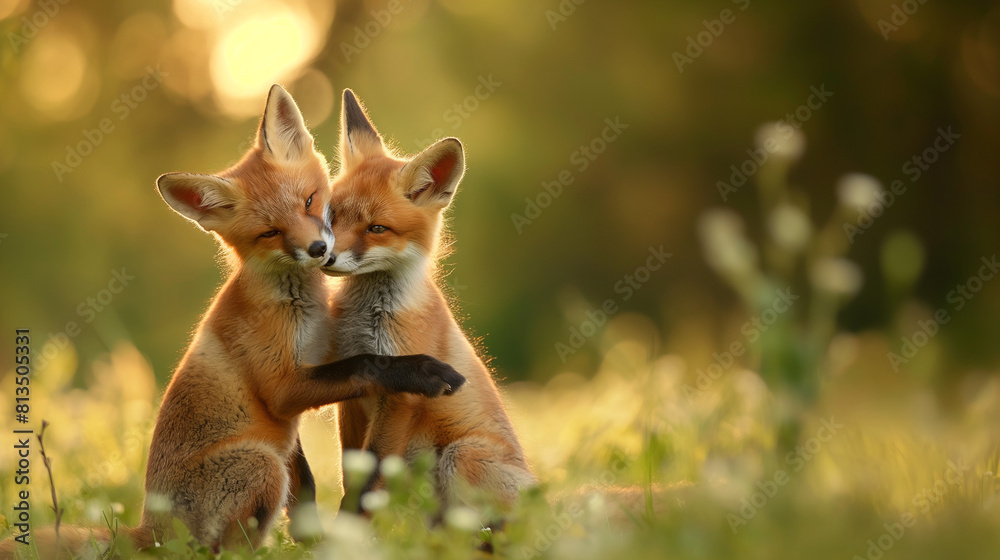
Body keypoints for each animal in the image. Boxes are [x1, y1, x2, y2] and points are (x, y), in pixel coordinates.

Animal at [0, 85, 465, 560]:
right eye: (269, 232)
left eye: (311, 202)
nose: (320, 250)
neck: (301, 309)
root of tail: (151, 530)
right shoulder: (282, 388)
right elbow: (367, 364)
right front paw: (422, 372)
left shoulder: (303, 393)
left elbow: (305, 478)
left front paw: (311, 534)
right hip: (259, 463)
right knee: (218, 549)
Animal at [319, 89, 536, 518]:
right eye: (331, 216)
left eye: (377, 228)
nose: (326, 257)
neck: (366, 321)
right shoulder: (352, 392)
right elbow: (350, 473)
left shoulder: (400, 396)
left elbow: (368, 479)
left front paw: (348, 527)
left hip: (459, 456)